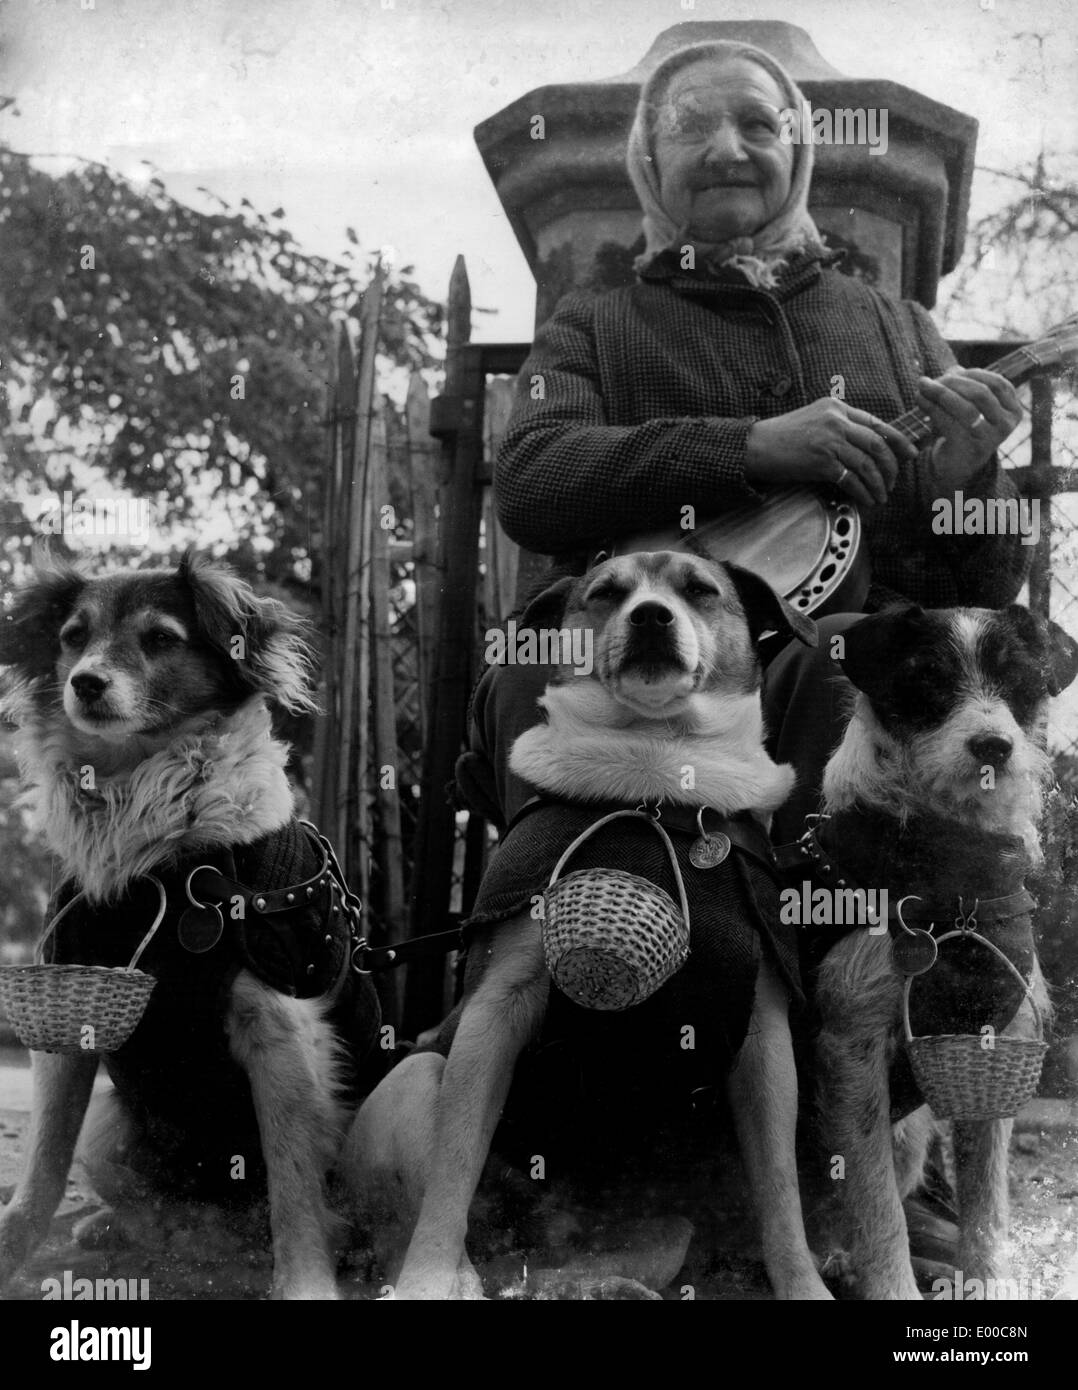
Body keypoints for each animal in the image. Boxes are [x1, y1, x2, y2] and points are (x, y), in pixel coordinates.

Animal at [0, 550, 377, 1301]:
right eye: (73, 637)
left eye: (160, 639)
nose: (86, 683)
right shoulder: (67, 1013)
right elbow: (40, 1177)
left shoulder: (280, 1028)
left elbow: (293, 1194)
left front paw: (306, 1284)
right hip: (110, 1128)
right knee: (163, 1210)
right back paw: (122, 1228)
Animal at [347, 550, 833, 1301]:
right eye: (604, 593)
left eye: (701, 590)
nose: (652, 617)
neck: (657, 786)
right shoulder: (496, 1011)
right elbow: (453, 1167)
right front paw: (428, 1276)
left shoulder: (766, 1038)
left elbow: (781, 1193)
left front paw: (804, 1285)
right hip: (415, 1079)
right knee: (416, 1213)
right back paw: (453, 1275)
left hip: (661, 1230)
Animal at [811, 603, 1078, 1295]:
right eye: (926, 677)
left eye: (1019, 679)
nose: (993, 747)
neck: (957, 878)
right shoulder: (851, 1047)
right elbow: (875, 1200)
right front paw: (892, 1286)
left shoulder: (995, 1046)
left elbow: (986, 1199)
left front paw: (988, 1280)